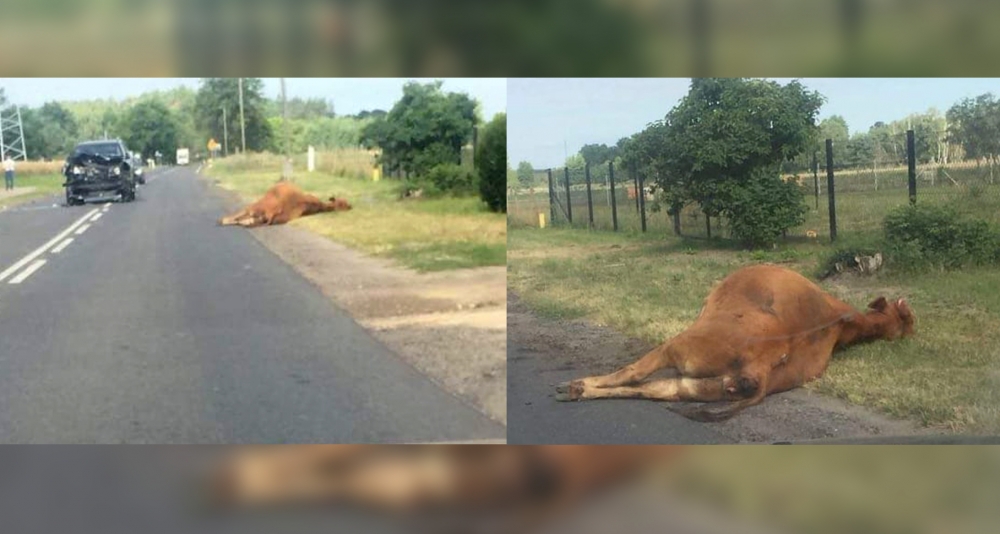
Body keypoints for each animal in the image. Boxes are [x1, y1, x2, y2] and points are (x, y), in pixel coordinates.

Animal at [218, 182, 352, 228]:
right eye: (342, 203)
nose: (351, 206)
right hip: (253, 207)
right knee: (238, 216)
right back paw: (221, 220)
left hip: (256, 210)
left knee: (240, 219)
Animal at [556, 264, 916, 422]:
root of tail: (763, 365)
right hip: (701, 385)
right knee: (653, 389)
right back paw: (575, 390)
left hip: (678, 347)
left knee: (634, 374)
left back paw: (575, 386)